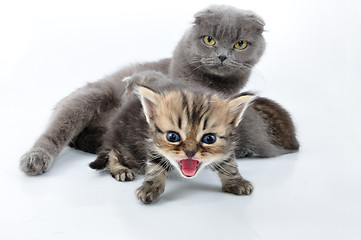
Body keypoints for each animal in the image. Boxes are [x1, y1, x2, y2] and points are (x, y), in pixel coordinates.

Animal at [18, 4, 296, 175]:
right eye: (209, 39)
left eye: (240, 44)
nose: (222, 56)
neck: (210, 83)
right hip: (88, 98)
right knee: (56, 131)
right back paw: (35, 159)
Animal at [89, 72, 253, 202]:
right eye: (172, 137)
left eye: (209, 139)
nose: (190, 152)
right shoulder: (153, 145)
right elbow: (155, 167)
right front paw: (150, 187)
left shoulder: (228, 147)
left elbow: (229, 164)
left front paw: (236, 182)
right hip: (129, 148)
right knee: (112, 152)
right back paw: (120, 169)